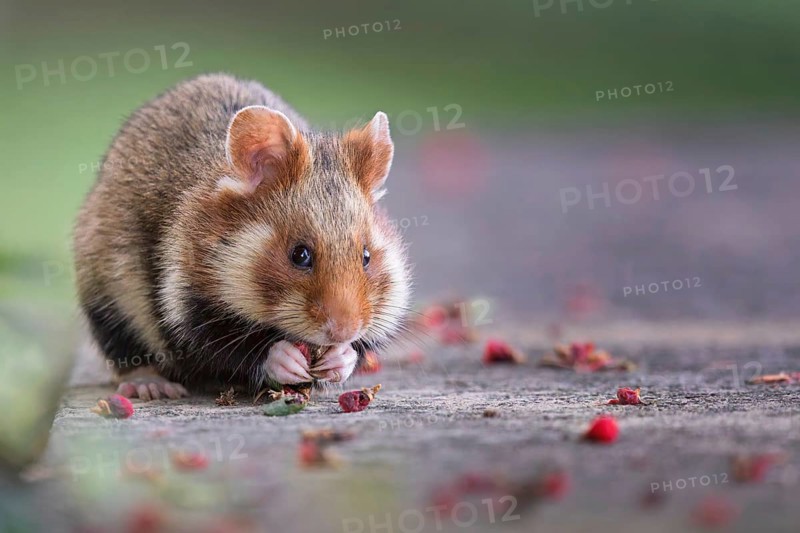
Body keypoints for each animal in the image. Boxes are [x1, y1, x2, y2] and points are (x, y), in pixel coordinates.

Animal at [73, 73, 412, 400]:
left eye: (366, 256)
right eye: (299, 255)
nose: (344, 331)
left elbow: (358, 351)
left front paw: (339, 357)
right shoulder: (186, 306)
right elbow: (230, 347)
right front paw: (286, 359)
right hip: (107, 298)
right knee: (126, 355)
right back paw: (151, 386)